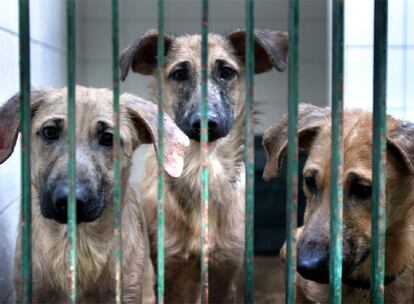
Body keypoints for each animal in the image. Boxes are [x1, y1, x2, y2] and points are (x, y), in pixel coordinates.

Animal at [119, 27, 288, 302]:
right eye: (179, 74)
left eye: (227, 72)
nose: (205, 123)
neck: (199, 169)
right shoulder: (172, 270)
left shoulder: (224, 271)